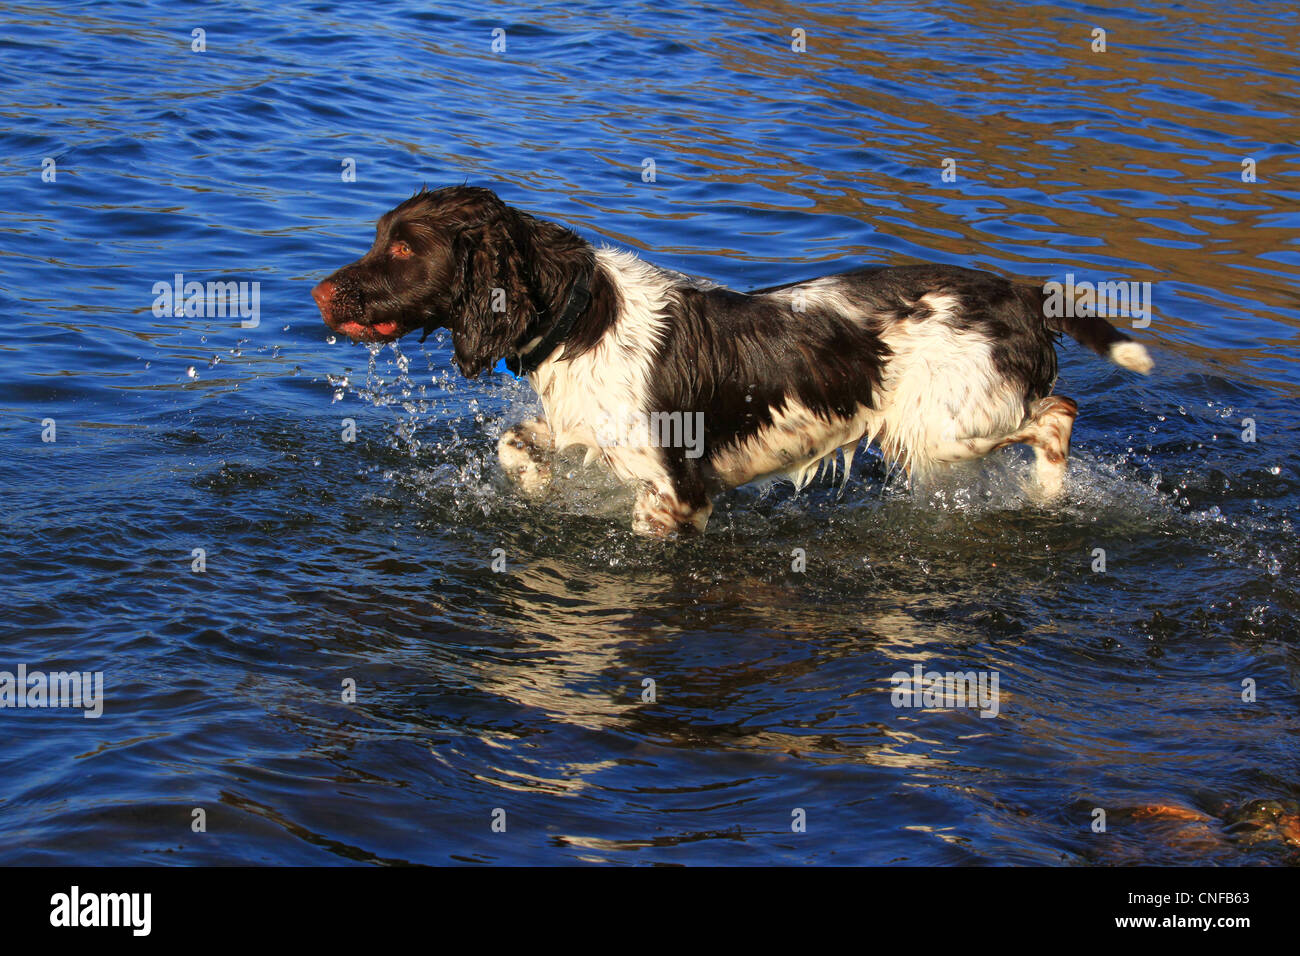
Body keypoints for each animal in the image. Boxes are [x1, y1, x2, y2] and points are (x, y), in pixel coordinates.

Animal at [312, 183, 1149, 535]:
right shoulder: (588, 429)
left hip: (939, 428)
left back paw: (1045, 494)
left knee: (1057, 415)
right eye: (380, 235)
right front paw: (538, 488)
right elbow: (515, 443)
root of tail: (1019, 290)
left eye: (403, 248)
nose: (318, 290)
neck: (582, 318)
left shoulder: (676, 493)